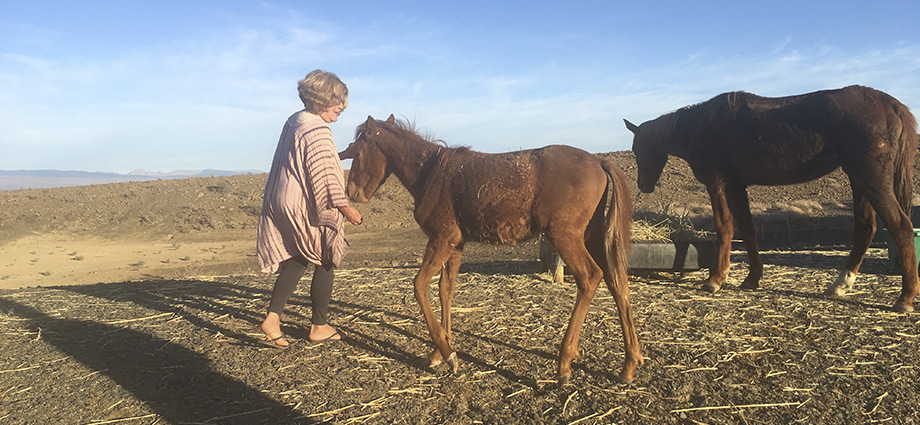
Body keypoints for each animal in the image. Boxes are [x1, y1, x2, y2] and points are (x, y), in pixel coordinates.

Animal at [342, 114, 644, 382]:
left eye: (358, 151)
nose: (352, 194)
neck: (433, 173)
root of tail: (598, 160)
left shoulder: (441, 240)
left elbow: (419, 286)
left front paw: (447, 351)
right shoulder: (455, 245)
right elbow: (445, 291)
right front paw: (440, 352)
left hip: (566, 237)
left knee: (590, 278)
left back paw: (565, 362)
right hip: (593, 238)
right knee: (618, 283)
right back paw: (629, 364)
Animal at [624, 85, 920, 312]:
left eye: (639, 149)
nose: (643, 185)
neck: (701, 126)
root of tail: (891, 105)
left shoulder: (717, 183)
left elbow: (724, 227)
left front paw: (716, 279)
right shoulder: (736, 186)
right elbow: (748, 230)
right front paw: (752, 279)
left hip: (872, 179)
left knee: (901, 227)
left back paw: (904, 298)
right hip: (860, 180)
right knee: (866, 229)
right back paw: (840, 286)